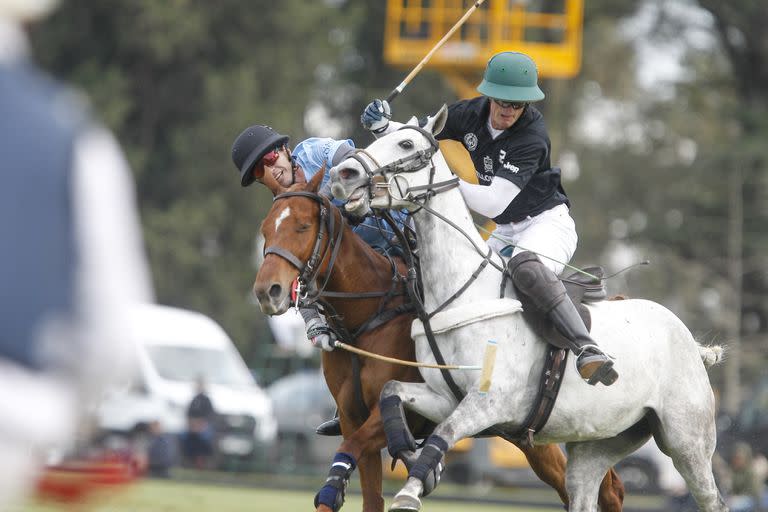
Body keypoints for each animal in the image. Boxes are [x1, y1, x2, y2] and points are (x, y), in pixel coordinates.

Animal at [252, 171, 624, 512]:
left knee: (605, 490)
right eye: (266, 228)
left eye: (302, 226)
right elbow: (366, 493)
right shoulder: (351, 417)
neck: (370, 315)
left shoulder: (394, 416)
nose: (268, 291)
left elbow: (349, 452)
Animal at [328, 105, 728, 512]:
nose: (343, 175)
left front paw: (409, 492)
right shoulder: (442, 397)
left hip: (688, 441)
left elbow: (446, 431)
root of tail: (690, 341)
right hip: (599, 441)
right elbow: (392, 392)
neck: (459, 292)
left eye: (407, 144)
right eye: (379, 137)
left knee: (711, 498)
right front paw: (406, 451)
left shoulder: (490, 402)